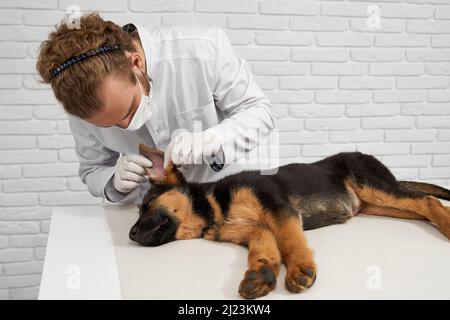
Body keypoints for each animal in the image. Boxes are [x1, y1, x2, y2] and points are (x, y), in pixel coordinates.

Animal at [129, 144, 450, 298]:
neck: (213, 208)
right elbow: (265, 247)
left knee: (428, 201)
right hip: (378, 204)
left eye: (145, 206)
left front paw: (299, 269)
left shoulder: (278, 208)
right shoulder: (254, 230)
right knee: (421, 207)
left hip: (372, 185)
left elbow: (290, 239)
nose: (130, 235)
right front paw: (261, 273)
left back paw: (446, 225)